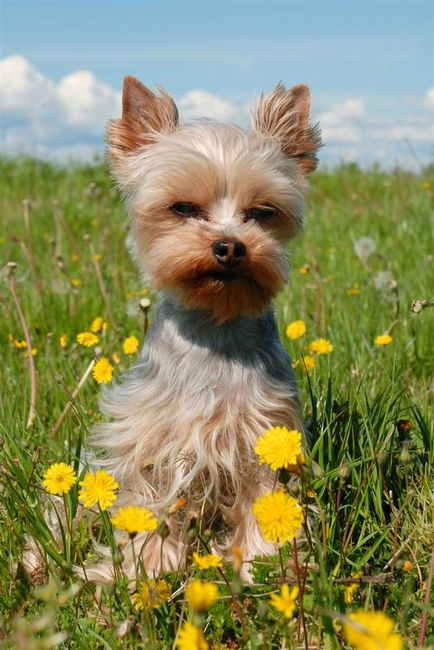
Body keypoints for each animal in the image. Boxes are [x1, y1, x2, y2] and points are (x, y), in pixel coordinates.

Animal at [80, 77, 318, 584]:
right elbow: (151, 502)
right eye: (183, 208)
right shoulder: (153, 441)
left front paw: (264, 566)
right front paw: (146, 570)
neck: (215, 326)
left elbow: (265, 498)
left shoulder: (264, 436)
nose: (229, 246)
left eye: (261, 212)